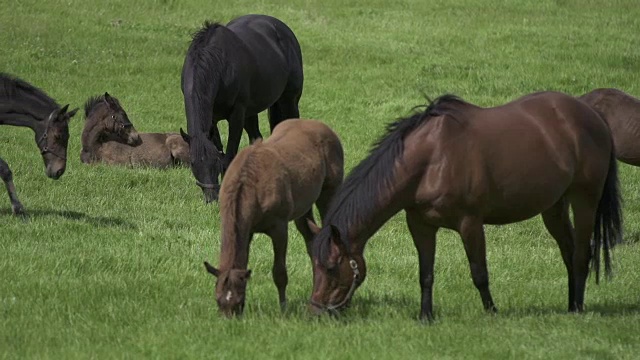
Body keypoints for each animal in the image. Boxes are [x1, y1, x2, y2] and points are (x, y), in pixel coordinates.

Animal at [178, 14, 302, 202]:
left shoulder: (237, 115)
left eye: (214, 162)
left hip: (289, 101)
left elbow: (229, 157)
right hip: (253, 112)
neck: (219, 65)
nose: (211, 198)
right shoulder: (213, 119)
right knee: (256, 138)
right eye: (192, 163)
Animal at [205, 119, 344, 316]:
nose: (230, 319)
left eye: (238, 301)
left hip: (329, 193)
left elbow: (279, 272)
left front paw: (283, 308)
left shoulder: (279, 229)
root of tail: (323, 127)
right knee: (312, 241)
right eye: (218, 300)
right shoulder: (247, 230)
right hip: (304, 208)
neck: (252, 185)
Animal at [308, 92, 624, 320]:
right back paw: (570, 307)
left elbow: (479, 272)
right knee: (568, 252)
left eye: (333, 268)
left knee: (582, 254)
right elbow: (425, 274)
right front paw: (426, 316)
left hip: (585, 200)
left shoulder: (470, 223)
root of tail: (593, 115)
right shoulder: (420, 225)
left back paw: (579, 309)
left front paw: (492, 312)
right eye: (315, 266)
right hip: (554, 207)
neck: (432, 158)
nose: (315, 313)